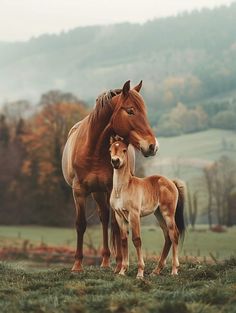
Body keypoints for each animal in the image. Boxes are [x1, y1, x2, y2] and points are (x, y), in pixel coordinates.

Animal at [61, 80, 158, 270]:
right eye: (130, 111)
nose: (152, 146)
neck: (94, 150)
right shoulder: (79, 191)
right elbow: (81, 224)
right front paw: (77, 265)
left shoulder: (112, 189)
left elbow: (116, 226)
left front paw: (120, 263)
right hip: (97, 192)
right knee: (103, 217)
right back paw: (105, 261)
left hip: (104, 192)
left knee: (109, 221)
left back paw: (109, 261)